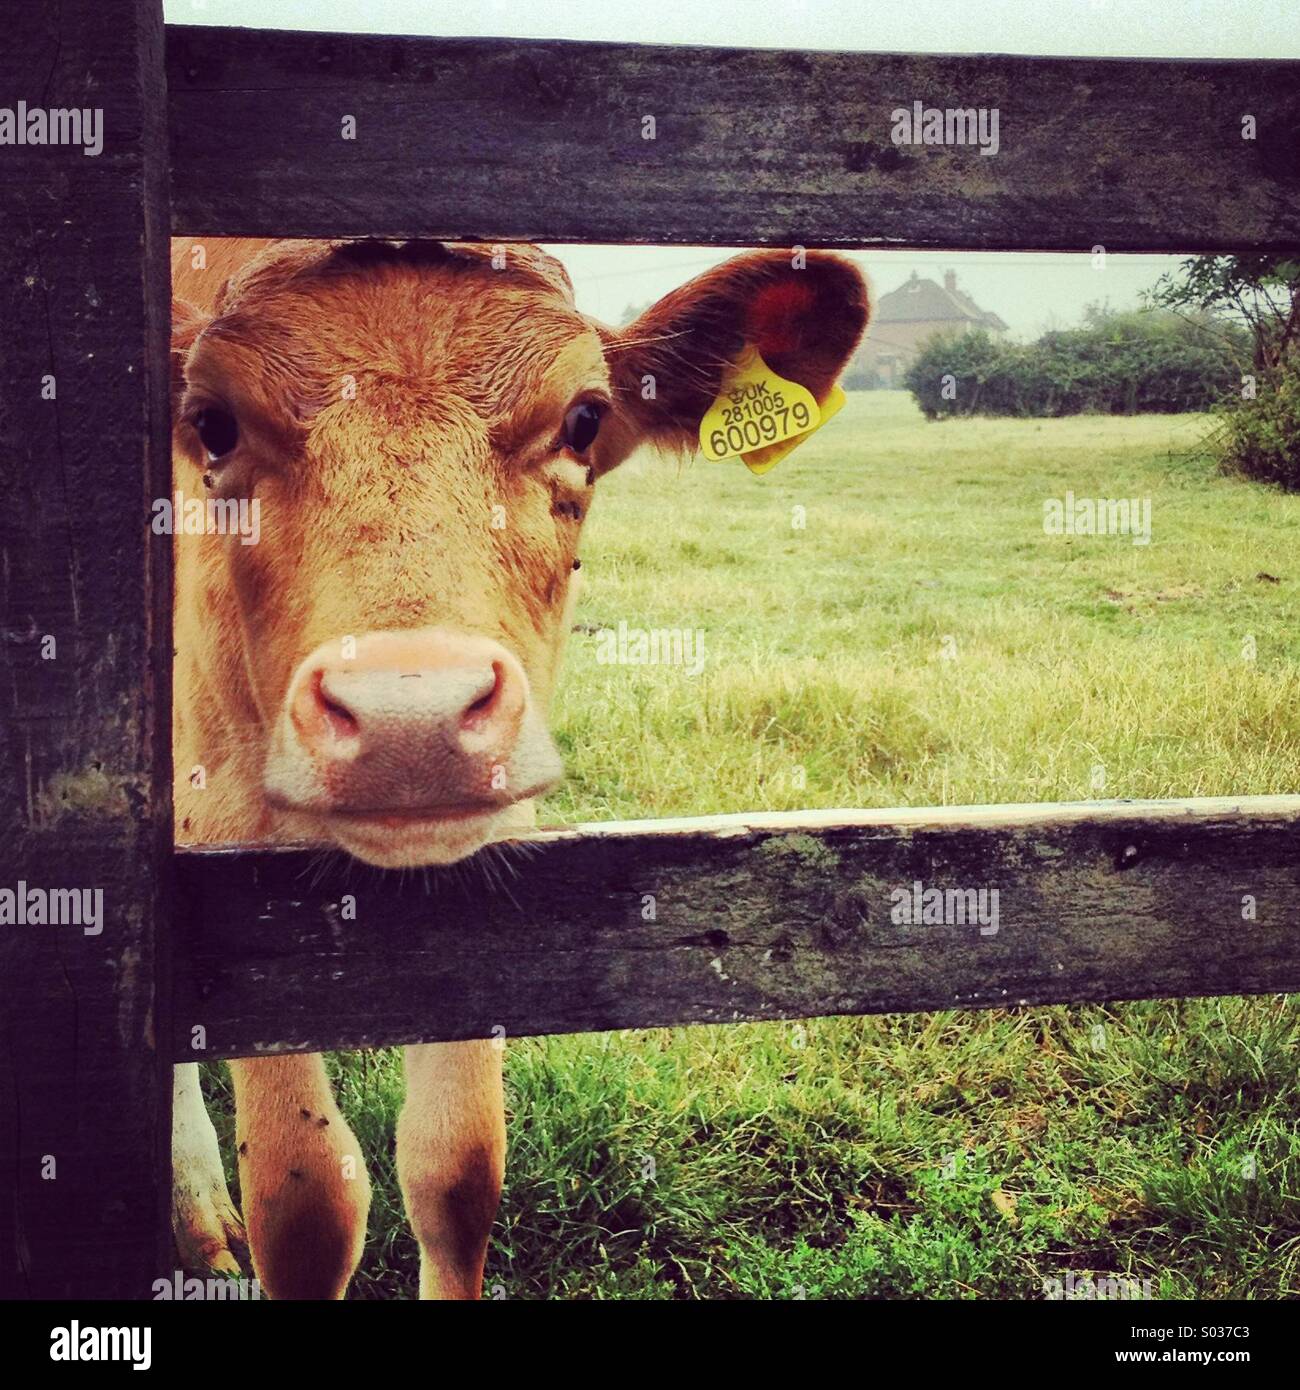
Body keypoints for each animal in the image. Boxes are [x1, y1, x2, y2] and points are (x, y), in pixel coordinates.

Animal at [169, 236, 870, 1299]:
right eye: (210, 425)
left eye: (584, 419)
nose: (408, 717)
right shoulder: (224, 838)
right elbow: (308, 1200)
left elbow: (457, 1168)